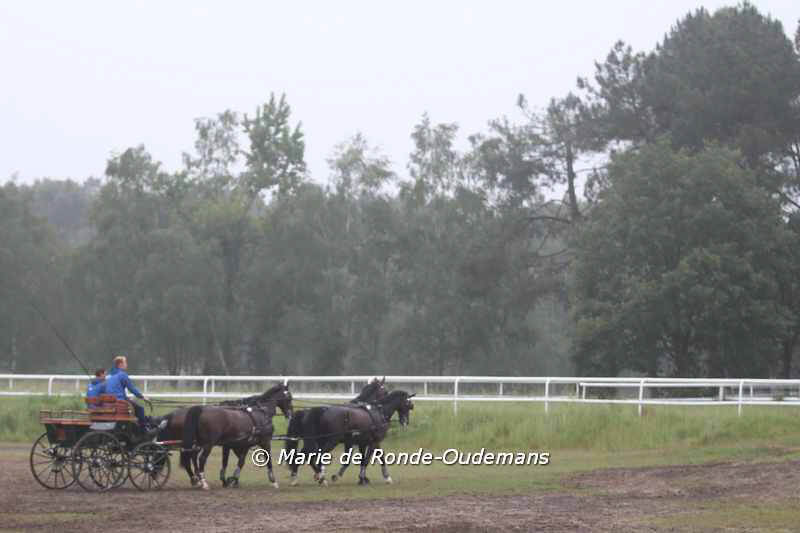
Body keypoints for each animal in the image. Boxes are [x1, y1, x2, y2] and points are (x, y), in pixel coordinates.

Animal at [285, 390, 415, 486]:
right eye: (408, 405)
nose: (405, 422)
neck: (379, 412)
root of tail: (319, 410)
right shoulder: (374, 441)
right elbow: (370, 459)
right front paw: (384, 477)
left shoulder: (363, 442)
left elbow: (365, 459)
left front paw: (363, 479)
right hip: (331, 440)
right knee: (317, 455)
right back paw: (320, 477)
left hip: (316, 441)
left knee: (304, 456)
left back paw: (298, 478)